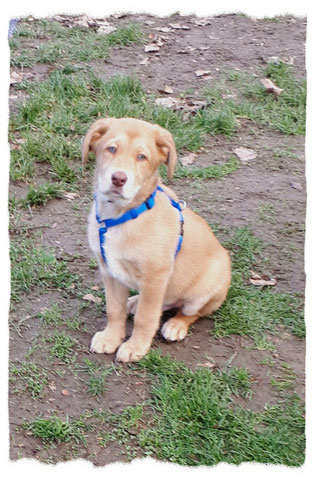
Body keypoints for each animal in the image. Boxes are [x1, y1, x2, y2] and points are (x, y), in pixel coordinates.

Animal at [83, 118, 231, 362]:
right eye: (111, 149)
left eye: (142, 157)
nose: (118, 178)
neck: (120, 216)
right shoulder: (109, 271)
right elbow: (114, 310)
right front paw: (111, 338)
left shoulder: (154, 277)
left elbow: (146, 317)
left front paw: (135, 347)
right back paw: (134, 302)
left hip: (205, 291)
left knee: (191, 312)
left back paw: (176, 325)